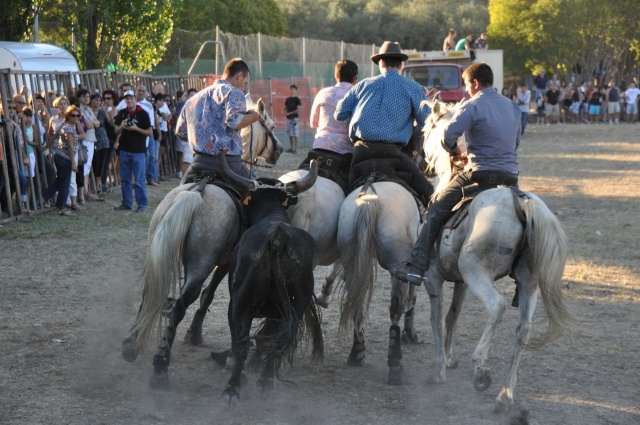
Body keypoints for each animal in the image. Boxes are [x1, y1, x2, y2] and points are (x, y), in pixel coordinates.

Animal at [121, 97, 282, 388]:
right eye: (271, 126)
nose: (280, 150)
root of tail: (197, 191)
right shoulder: (226, 262)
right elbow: (209, 295)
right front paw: (194, 334)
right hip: (201, 264)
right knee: (184, 302)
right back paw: (161, 365)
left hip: (159, 251)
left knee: (150, 294)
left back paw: (130, 345)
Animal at [422, 99, 576, 410]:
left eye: (426, 129)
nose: (424, 163)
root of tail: (520, 202)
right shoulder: (460, 282)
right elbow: (451, 317)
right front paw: (449, 359)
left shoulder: (434, 278)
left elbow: (436, 319)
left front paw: (440, 368)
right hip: (528, 283)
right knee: (523, 329)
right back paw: (506, 393)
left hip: (476, 272)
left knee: (497, 306)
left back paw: (481, 366)